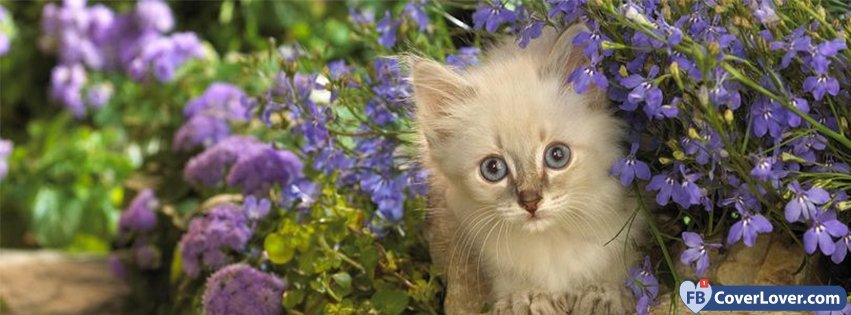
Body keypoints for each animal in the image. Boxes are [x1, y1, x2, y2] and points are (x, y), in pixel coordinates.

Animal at [412, 25, 644, 314]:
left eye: (557, 156)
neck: (552, 242)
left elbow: (618, 271)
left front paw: (602, 293)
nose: (531, 202)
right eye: (493, 168)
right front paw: (526, 299)